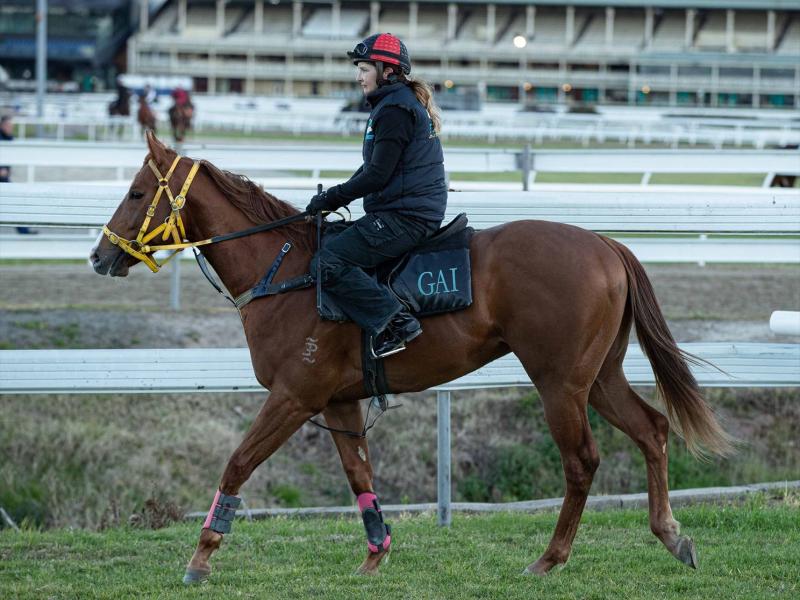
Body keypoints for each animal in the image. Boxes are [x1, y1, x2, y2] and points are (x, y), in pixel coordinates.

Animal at [89, 132, 732, 584]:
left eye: (137, 193)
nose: (99, 257)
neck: (288, 272)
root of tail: (605, 243)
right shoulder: (339, 404)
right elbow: (360, 478)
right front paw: (376, 554)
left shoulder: (294, 397)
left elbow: (237, 465)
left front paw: (201, 558)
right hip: (598, 376)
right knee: (652, 429)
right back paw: (671, 534)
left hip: (559, 384)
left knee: (582, 463)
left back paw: (549, 559)